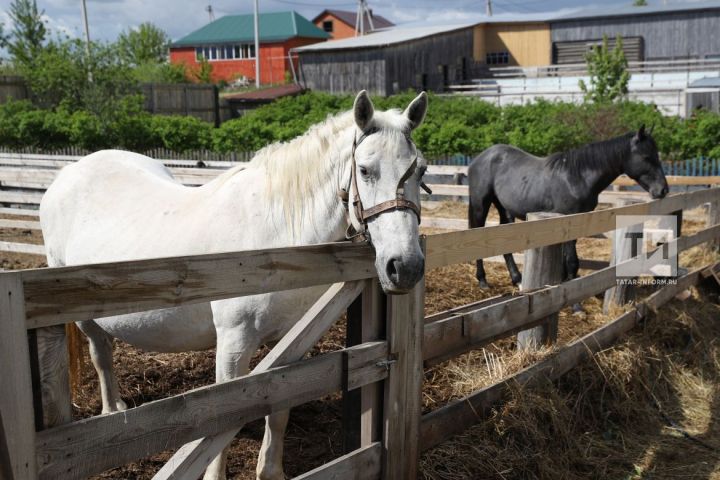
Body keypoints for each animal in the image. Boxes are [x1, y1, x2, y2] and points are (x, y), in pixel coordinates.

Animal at [40, 91, 428, 480]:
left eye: (421, 171)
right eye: (365, 170)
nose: (405, 267)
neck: (273, 236)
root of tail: (67, 174)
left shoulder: (291, 343)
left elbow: (280, 409)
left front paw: (270, 470)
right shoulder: (233, 343)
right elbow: (224, 417)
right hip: (82, 309)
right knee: (101, 351)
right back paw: (113, 409)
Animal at [470, 124, 668, 288]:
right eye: (646, 157)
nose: (663, 190)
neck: (577, 177)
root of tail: (481, 157)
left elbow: (567, 262)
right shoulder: (566, 221)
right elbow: (572, 262)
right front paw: (575, 304)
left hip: (504, 209)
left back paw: (517, 279)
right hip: (480, 205)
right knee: (476, 233)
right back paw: (483, 280)